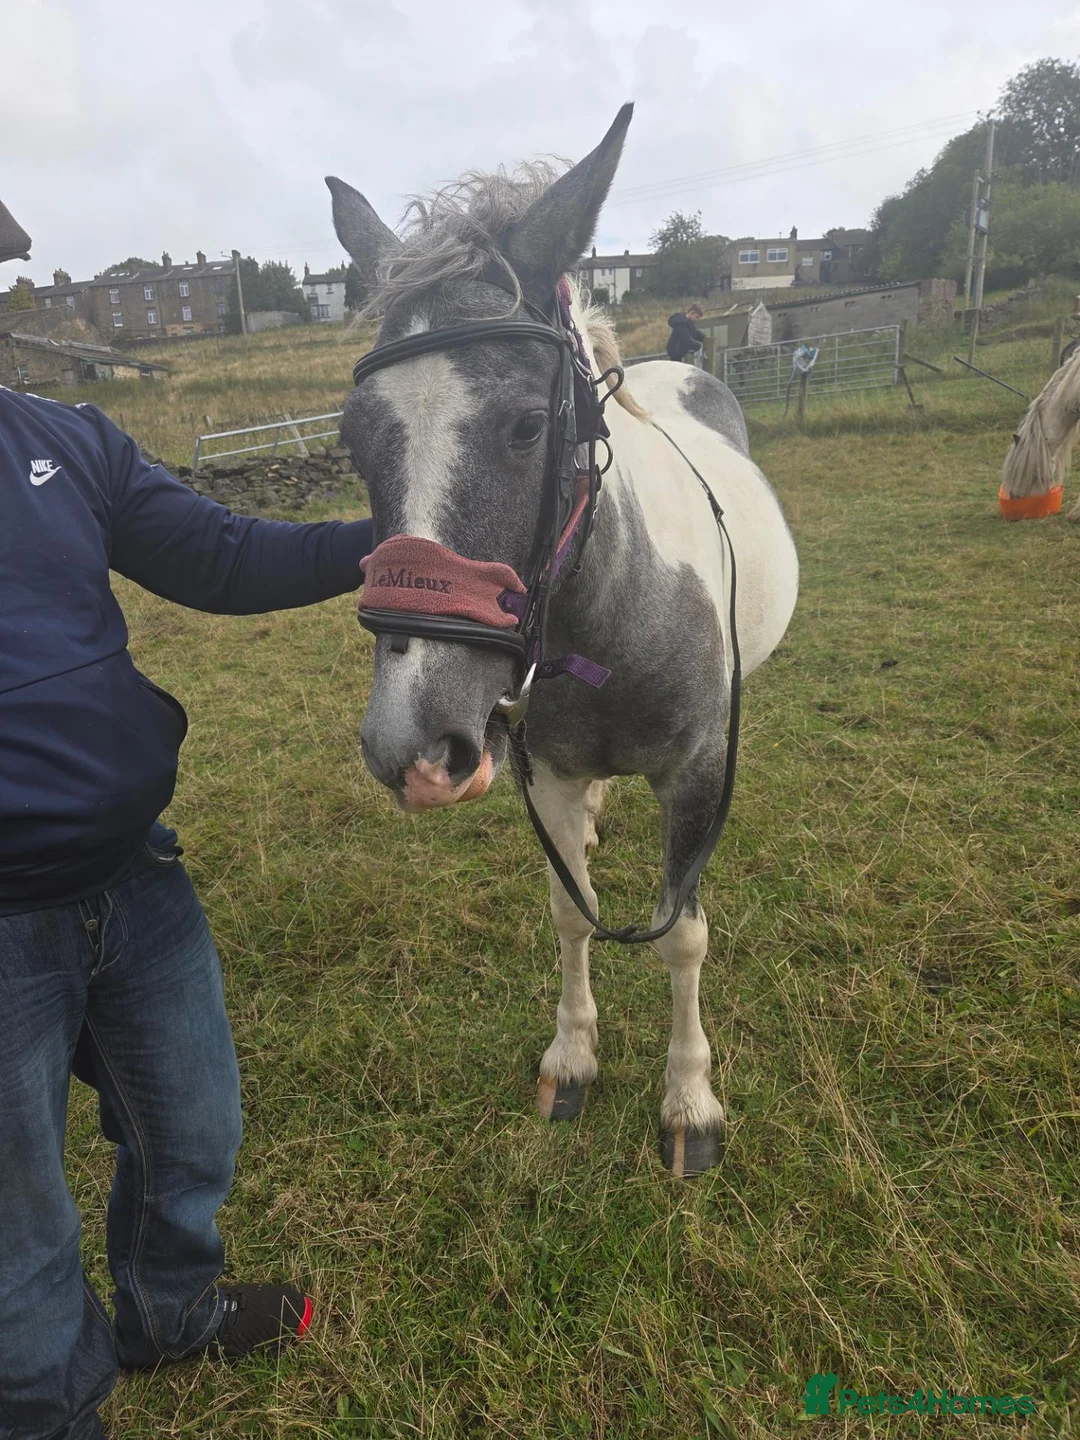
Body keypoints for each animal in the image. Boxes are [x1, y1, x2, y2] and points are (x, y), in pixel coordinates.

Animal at [328, 105, 798, 1175]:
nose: (410, 746)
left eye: (527, 426)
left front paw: (689, 1100)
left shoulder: (697, 778)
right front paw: (573, 1056)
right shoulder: (541, 771)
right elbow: (568, 912)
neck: (607, 618)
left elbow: (680, 935)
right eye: (353, 438)